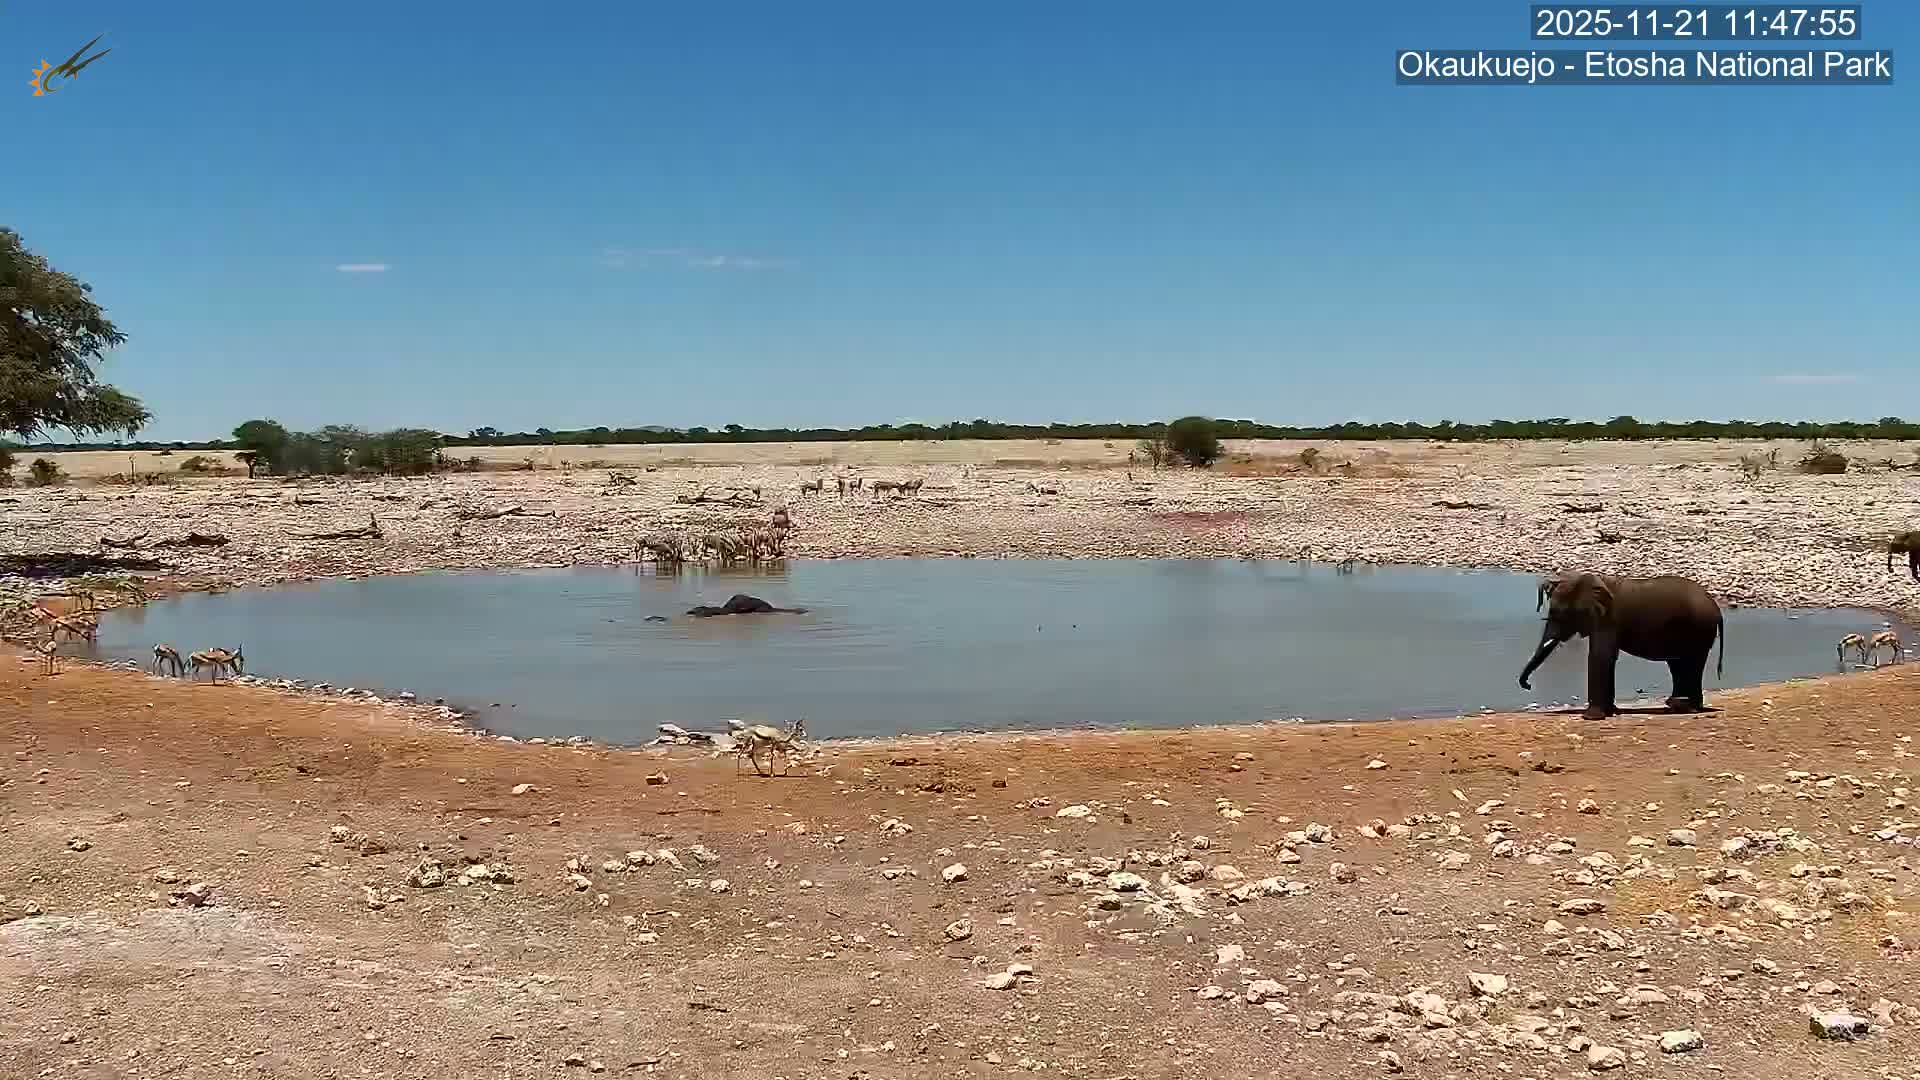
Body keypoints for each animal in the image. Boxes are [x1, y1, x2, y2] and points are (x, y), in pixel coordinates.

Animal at [1517, 572, 1724, 721]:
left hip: (1699, 629)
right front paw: (1611, 712)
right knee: (1678, 664)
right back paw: (1677, 705)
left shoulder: (1608, 618)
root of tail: (1717, 609)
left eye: (1559, 614)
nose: (1528, 685)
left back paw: (1686, 707)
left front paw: (1590, 718)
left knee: (1691, 663)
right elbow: (1606, 658)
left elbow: (1600, 656)